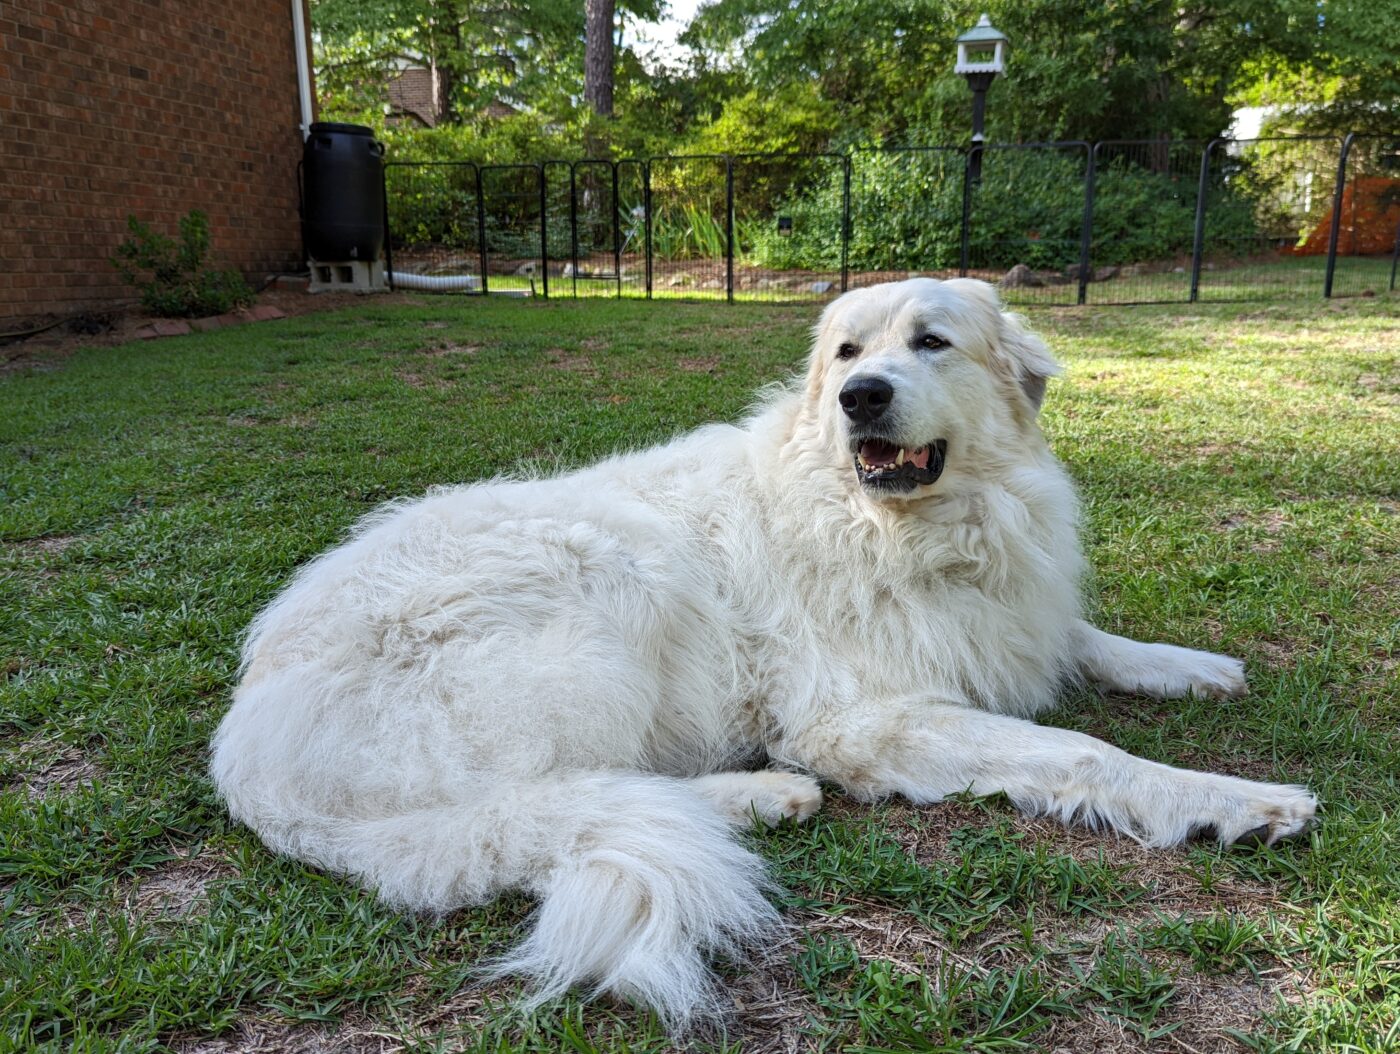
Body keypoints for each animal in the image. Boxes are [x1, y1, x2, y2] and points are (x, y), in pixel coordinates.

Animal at [207, 275, 1310, 1024]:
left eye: (931, 342)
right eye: (847, 353)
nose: (862, 397)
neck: (904, 526)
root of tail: (248, 753)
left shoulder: (1007, 616)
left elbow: (1084, 638)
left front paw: (1191, 666)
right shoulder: (862, 720)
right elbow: (1083, 753)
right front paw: (1232, 799)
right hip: (607, 581)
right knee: (551, 802)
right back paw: (758, 795)